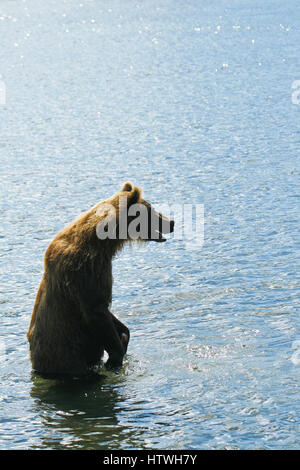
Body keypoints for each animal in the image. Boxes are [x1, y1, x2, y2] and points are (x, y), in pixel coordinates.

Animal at [27, 182, 175, 376]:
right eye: (151, 209)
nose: (171, 222)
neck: (104, 242)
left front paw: (123, 332)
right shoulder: (88, 267)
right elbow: (96, 308)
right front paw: (116, 355)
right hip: (66, 354)